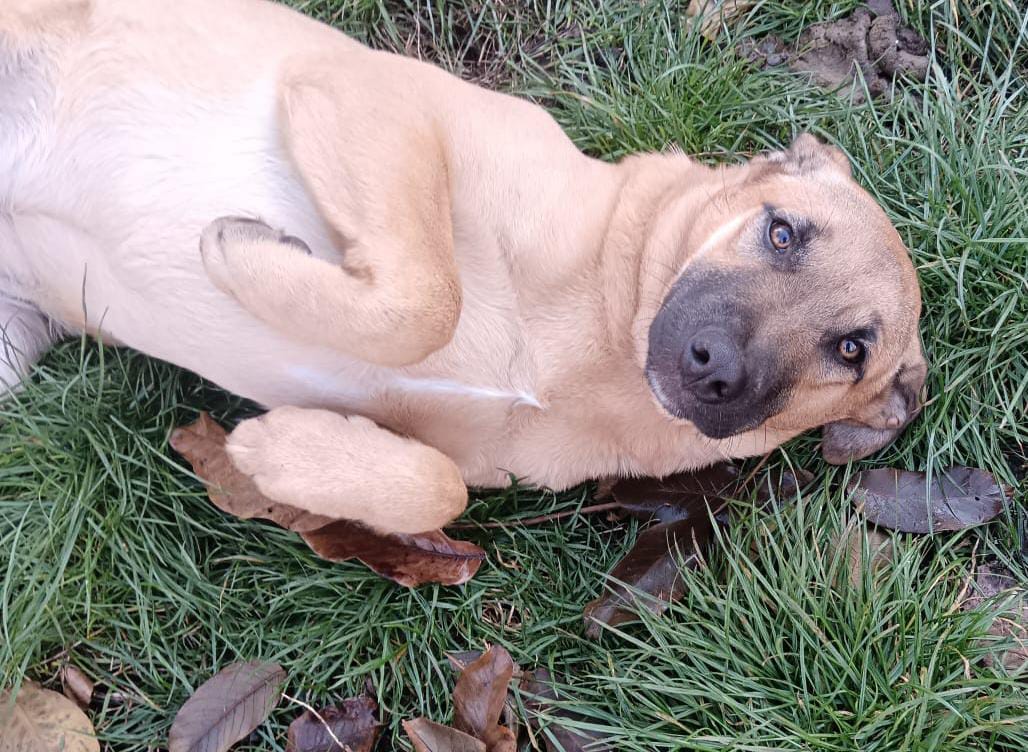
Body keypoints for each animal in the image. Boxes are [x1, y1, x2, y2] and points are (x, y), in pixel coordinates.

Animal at [1, 0, 927, 535]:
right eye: (782, 233)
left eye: (851, 351)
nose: (713, 371)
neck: (591, 352)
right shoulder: (371, 90)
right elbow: (423, 303)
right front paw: (235, 251)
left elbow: (437, 487)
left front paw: (283, 454)